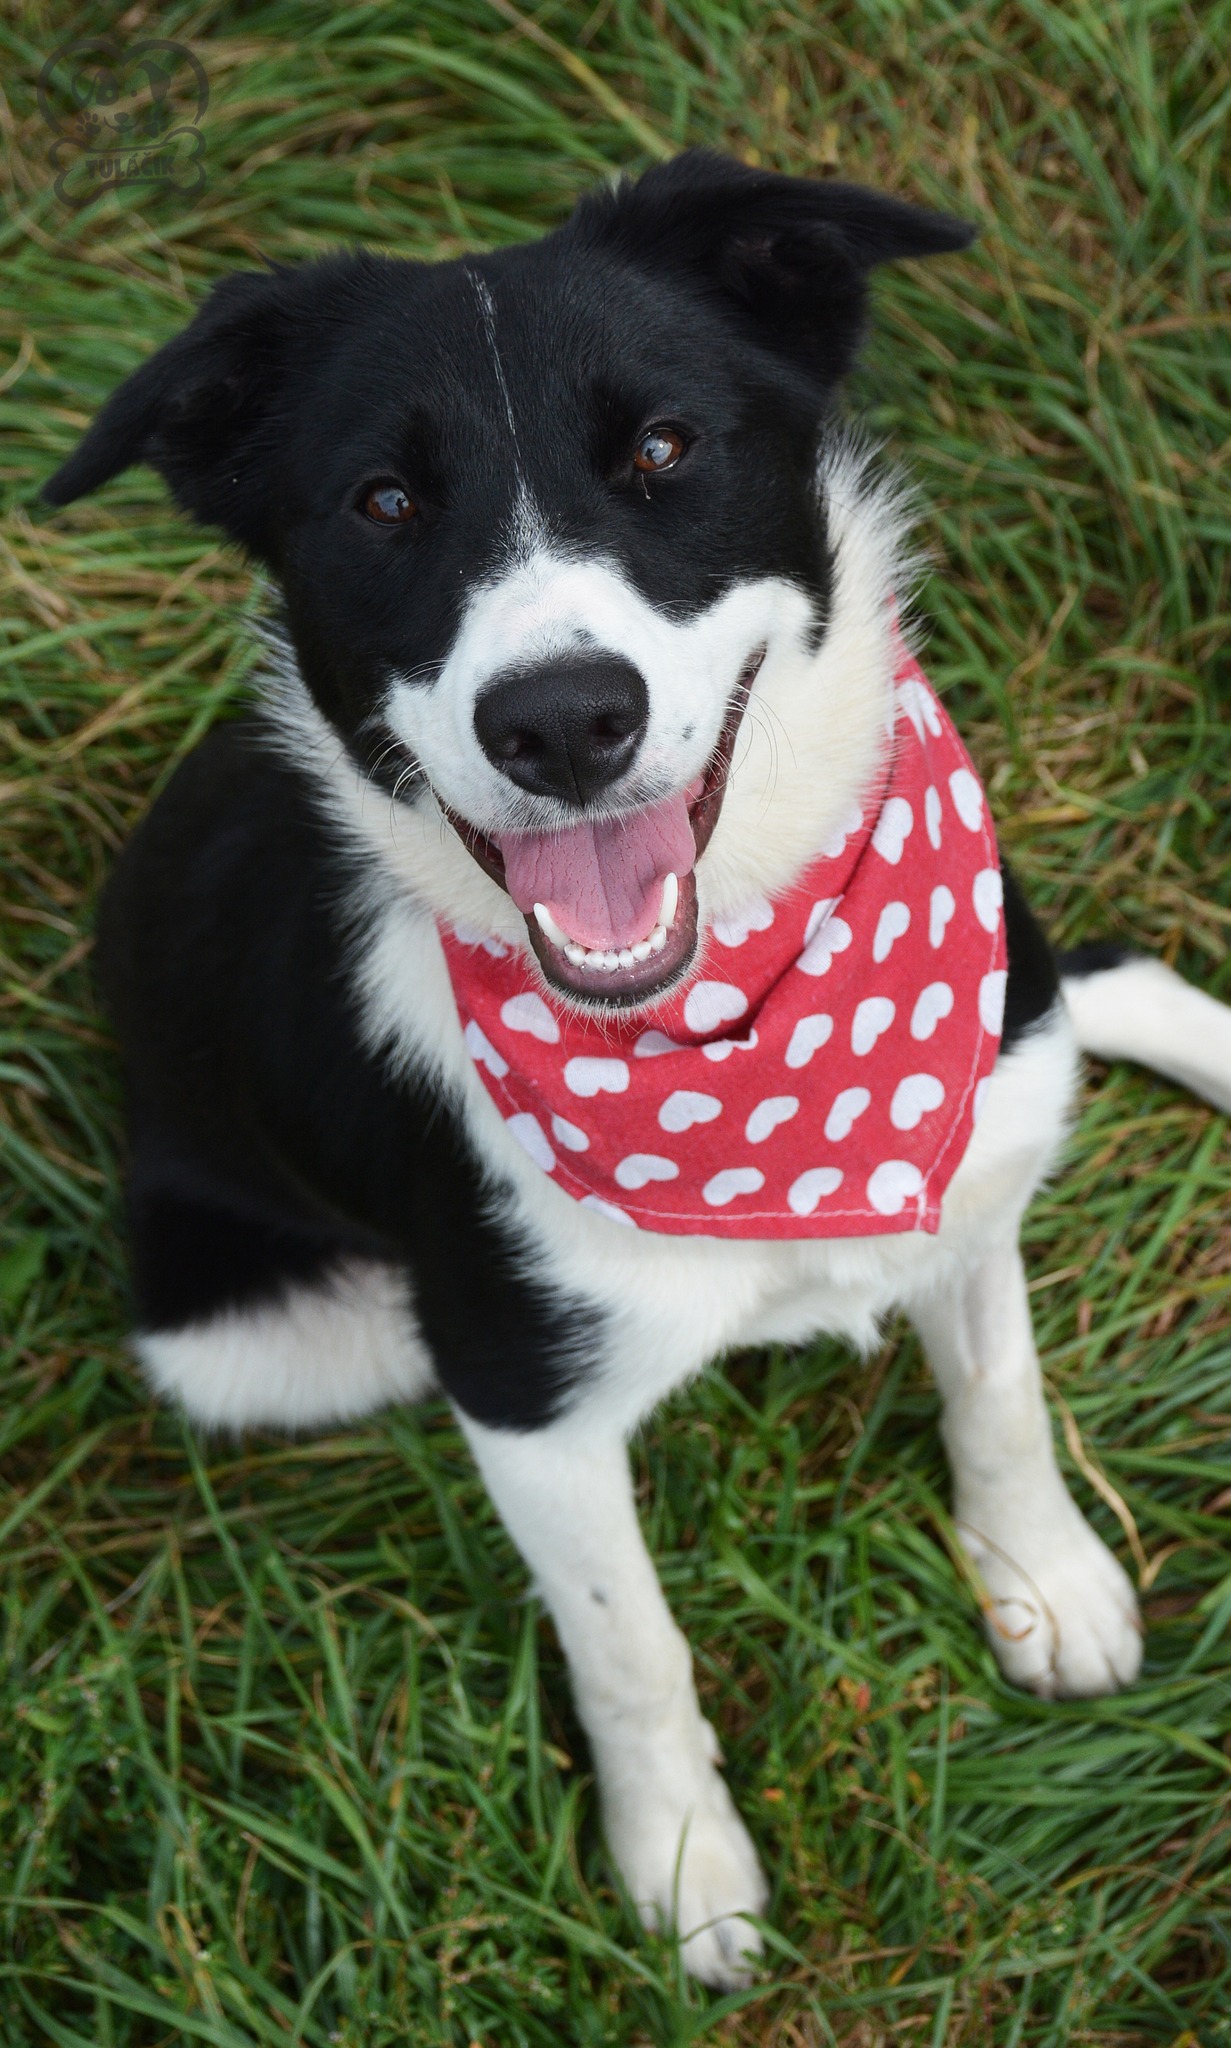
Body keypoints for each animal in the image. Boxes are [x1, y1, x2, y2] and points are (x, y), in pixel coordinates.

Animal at [44, 151, 1231, 1988]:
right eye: (380, 500)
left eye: (664, 450)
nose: (558, 721)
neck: (734, 1027)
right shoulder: (516, 1393)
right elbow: (630, 1646)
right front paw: (682, 1862)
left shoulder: (954, 1172)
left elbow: (999, 1393)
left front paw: (1042, 1578)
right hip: (263, 1341)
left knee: (1082, 996)